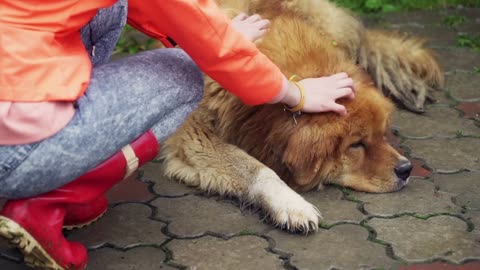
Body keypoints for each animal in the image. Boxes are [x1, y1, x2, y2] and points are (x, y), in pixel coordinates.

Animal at [159, 0, 444, 232]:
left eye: (382, 135)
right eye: (356, 145)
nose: (406, 169)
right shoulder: (197, 135)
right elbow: (257, 169)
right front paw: (291, 204)